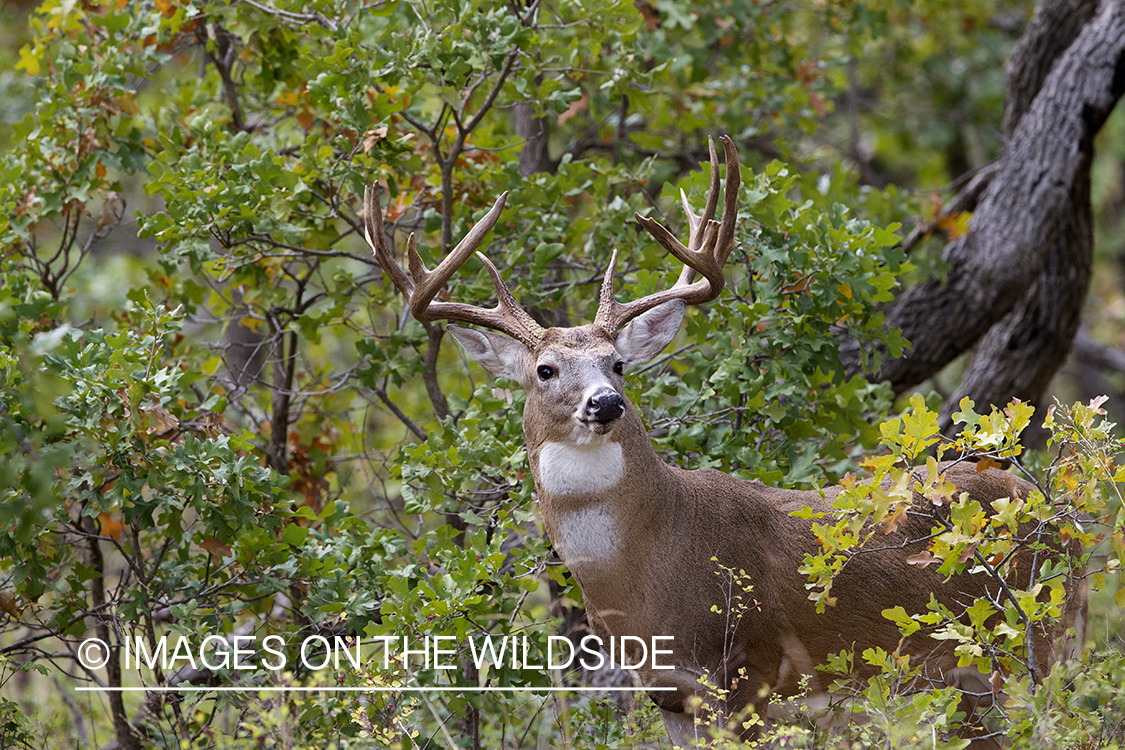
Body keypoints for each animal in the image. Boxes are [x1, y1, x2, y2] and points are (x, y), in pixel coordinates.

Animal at [364, 137, 1084, 746]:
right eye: (545, 370)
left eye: (616, 363)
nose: (605, 403)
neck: (644, 579)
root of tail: (1058, 512)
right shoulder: (668, 693)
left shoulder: (745, 671)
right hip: (971, 678)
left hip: (1038, 634)